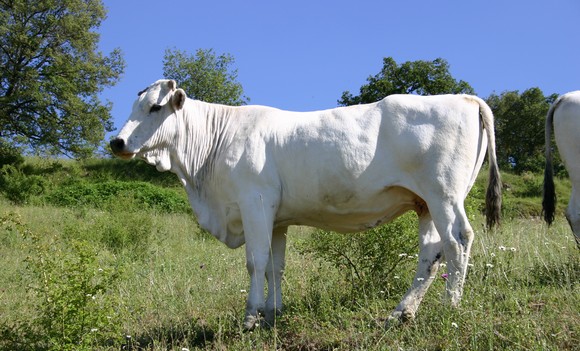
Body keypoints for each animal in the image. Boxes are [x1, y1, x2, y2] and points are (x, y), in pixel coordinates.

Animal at [111, 79, 500, 330]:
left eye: (155, 107)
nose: (117, 142)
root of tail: (464, 98)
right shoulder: (276, 218)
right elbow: (274, 266)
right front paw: (272, 314)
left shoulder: (254, 202)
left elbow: (255, 262)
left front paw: (250, 317)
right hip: (425, 202)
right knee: (431, 254)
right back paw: (401, 313)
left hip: (444, 194)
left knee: (457, 242)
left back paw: (450, 309)